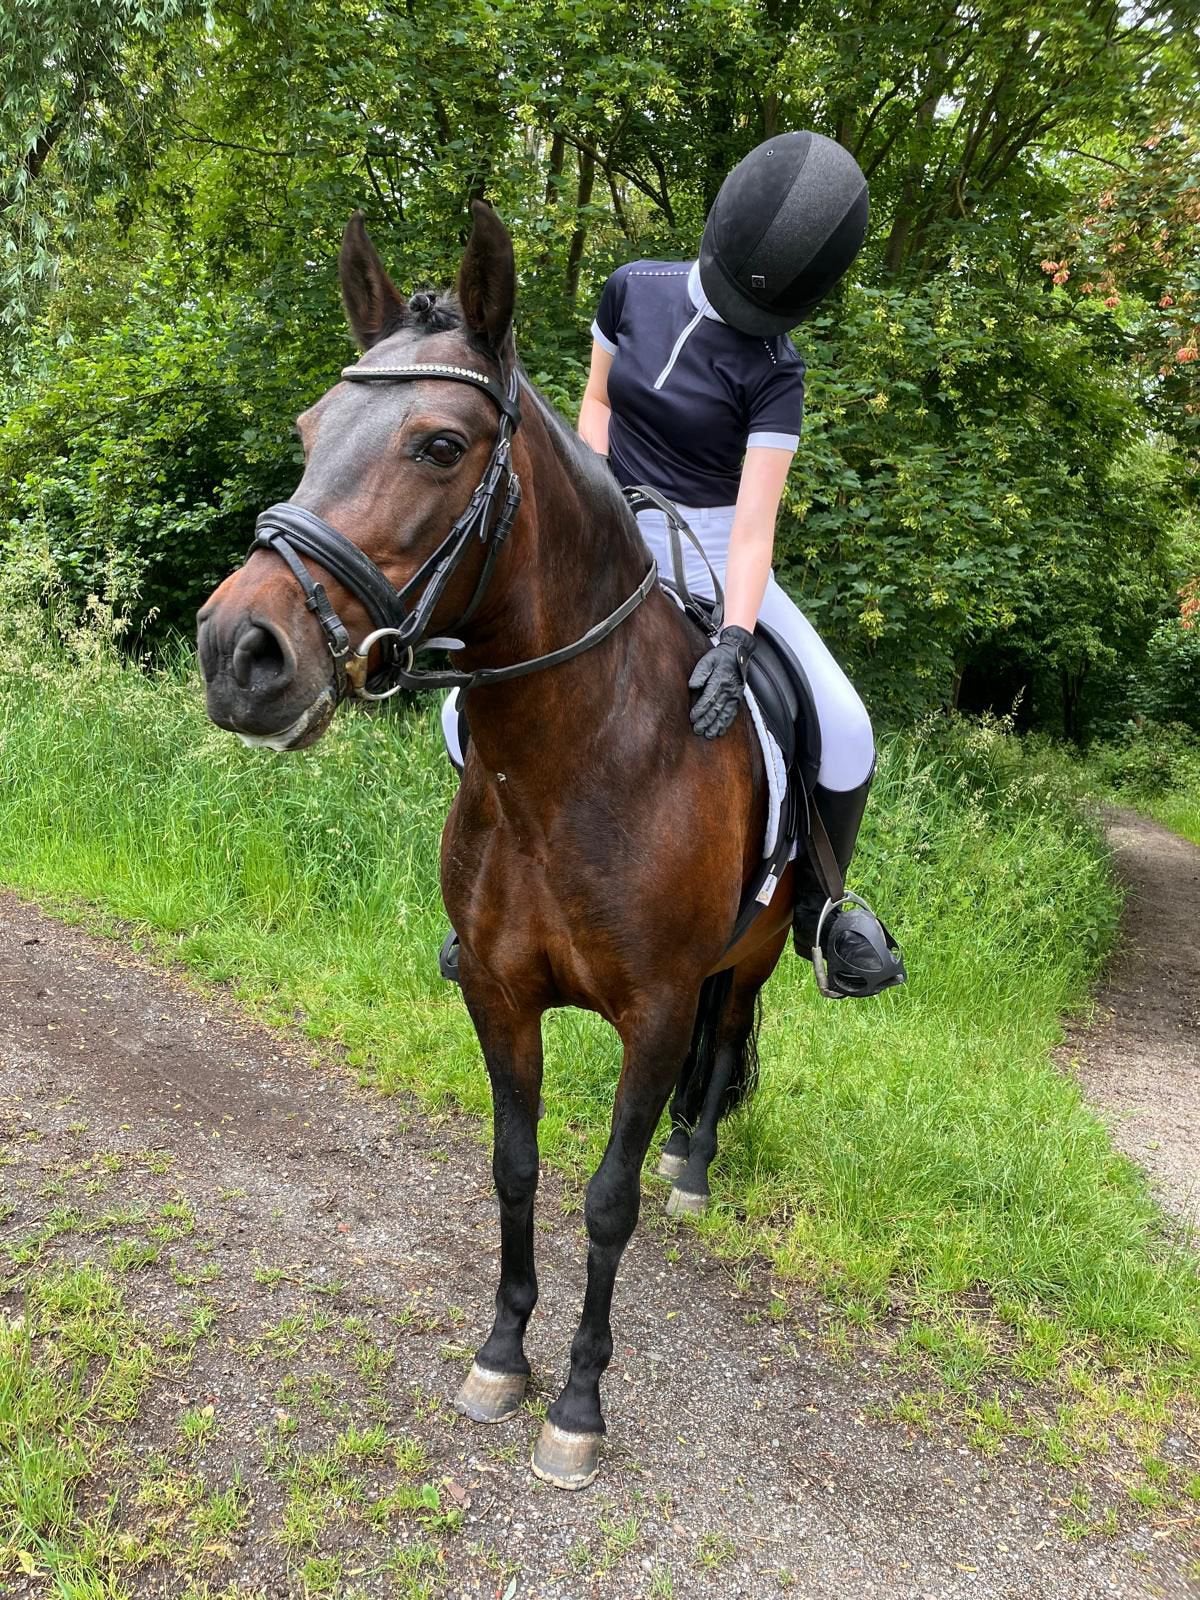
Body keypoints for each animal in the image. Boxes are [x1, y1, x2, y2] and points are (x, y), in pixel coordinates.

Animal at [197, 202, 795, 1490]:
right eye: (310, 428)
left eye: (438, 445)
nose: (238, 652)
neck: (571, 769)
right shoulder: (497, 991)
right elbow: (514, 1168)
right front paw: (502, 1357)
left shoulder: (656, 1012)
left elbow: (607, 1198)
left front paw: (577, 1402)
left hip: (757, 950)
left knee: (728, 1040)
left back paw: (695, 1166)